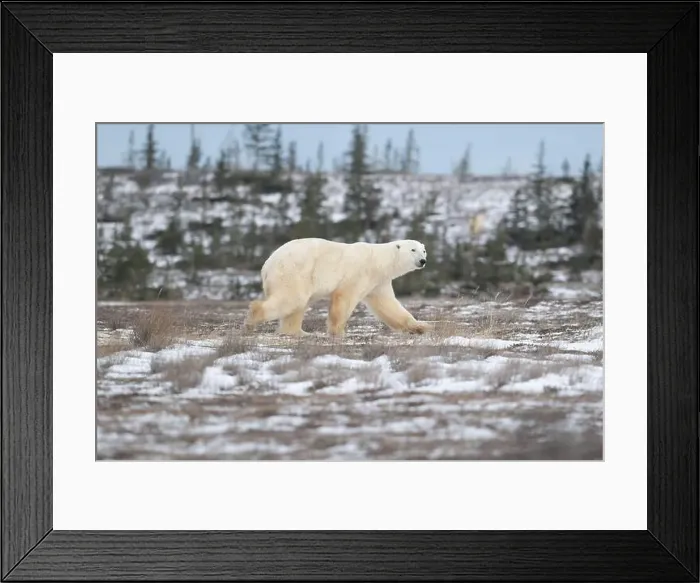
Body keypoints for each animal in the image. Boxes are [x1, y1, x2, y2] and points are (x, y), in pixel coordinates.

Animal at [244, 238, 432, 337]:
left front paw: (420, 327)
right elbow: (345, 297)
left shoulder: (378, 282)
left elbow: (388, 305)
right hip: (294, 272)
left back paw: (298, 332)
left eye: (423, 251)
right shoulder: (359, 272)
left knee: (296, 306)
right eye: (413, 250)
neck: (379, 261)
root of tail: (267, 265)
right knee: (291, 299)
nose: (423, 261)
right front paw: (338, 331)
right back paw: (253, 319)